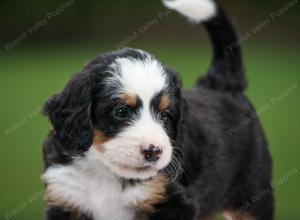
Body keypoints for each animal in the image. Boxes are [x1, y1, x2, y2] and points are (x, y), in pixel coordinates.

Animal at [42, 0, 274, 220]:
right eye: (121, 111)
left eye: (165, 115)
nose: (153, 151)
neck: (105, 173)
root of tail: (223, 85)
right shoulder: (66, 196)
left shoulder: (171, 201)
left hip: (253, 194)